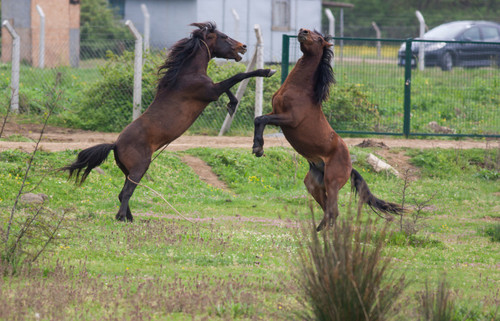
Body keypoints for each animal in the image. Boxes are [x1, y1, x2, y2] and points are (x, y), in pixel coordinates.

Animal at [62, 22, 276, 221]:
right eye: (224, 36)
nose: (243, 47)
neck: (186, 75)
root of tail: (115, 144)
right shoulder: (211, 91)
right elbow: (236, 77)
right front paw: (267, 71)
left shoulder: (212, 90)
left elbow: (230, 86)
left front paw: (232, 104)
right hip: (140, 167)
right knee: (127, 192)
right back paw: (122, 218)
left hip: (128, 171)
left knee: (123, 192)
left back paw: (129, 218)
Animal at [252, 28, 404, 230]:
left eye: (318, 39)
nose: (302, 31)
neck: (300, 90)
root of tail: (350, 166)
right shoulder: (277, 113)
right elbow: (258, 119)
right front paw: (257, 148)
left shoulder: (288, 119)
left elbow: (262, 119)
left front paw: (258, 148)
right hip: (313, 184)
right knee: (327, 210)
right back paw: (319, 230)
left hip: (332, 183)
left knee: (333, 211)